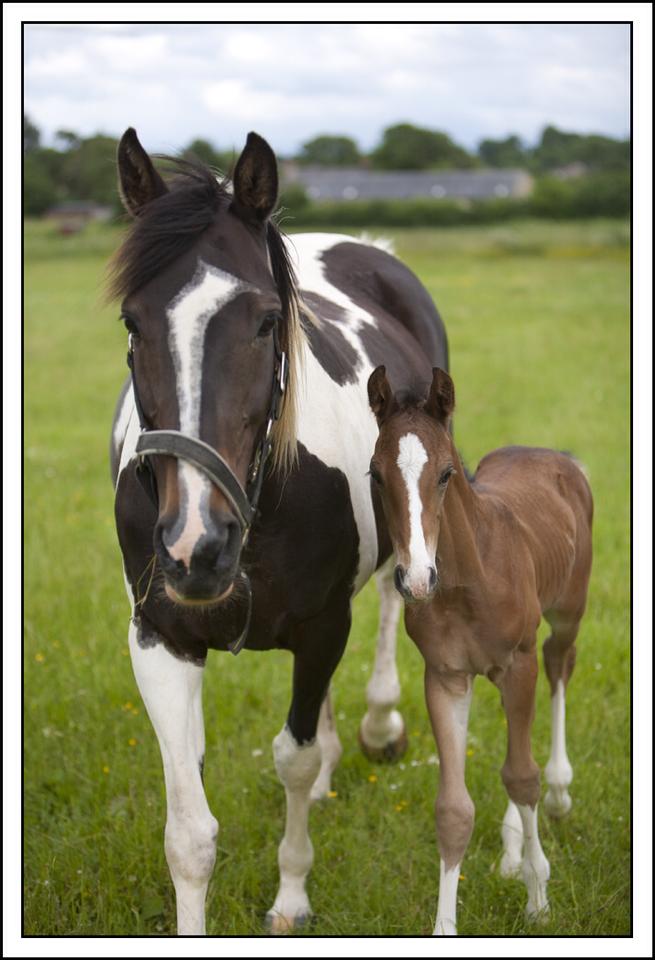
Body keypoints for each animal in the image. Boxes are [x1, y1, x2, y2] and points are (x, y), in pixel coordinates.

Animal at [368, 364, 596, 932]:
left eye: (447, 473)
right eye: (375, 475)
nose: (416, 579)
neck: (467, 585)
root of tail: (550, 453)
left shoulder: (517, 662)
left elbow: (522, 776)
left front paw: (539, 898)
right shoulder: (446, 677)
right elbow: (454, 809)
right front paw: (445, 926)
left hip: (565, 616)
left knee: (559, 667)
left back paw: (559, 792)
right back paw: (512, 848)